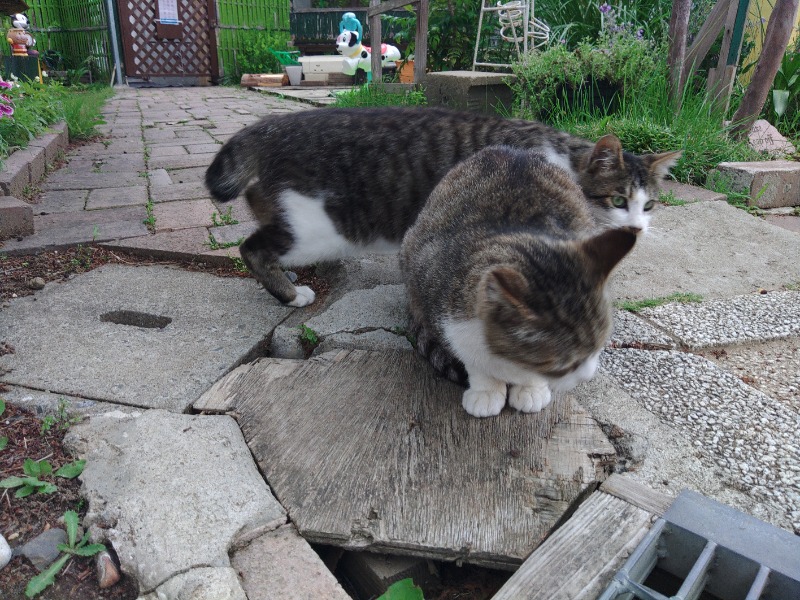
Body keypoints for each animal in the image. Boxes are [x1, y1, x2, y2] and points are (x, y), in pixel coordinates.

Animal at [206, 105, 680, 308]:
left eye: (649, 205)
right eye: (618, 200)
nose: (638, 229)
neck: (563, 156)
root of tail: (270, 126)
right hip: (316, 230)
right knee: (252, 248)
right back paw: (291, 295)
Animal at [400, 145, 636, 418]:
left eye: (598, 347)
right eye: (564, 365)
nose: (586, 377)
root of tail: (512, 150)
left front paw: (531, 389)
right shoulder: (449, 312)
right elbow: (475, 364)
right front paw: (486, 391)